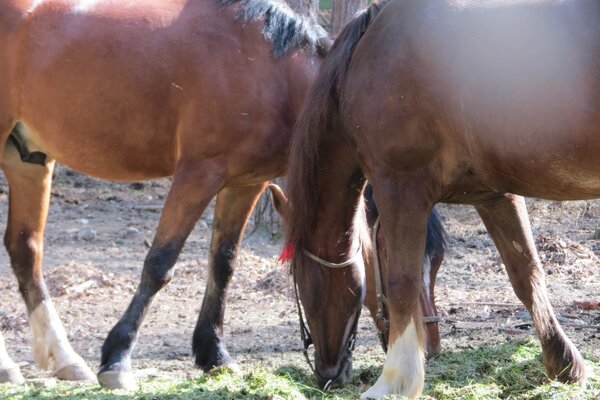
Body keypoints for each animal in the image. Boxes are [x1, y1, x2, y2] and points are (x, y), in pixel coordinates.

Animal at [0, 0, 330, 390]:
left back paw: (63, 359)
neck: (270, 70)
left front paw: (215, 355)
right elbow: (159, 264)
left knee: (25, 249)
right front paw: (117, 359)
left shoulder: (247, 183)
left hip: (27, 159)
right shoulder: (198, 173)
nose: (334, 372)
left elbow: (223, 263)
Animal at [284, 0, 596, 396]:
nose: (327, 373)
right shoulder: (494, 194)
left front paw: (395, 381)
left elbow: (401, 282)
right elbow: (526, 274)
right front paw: (563, 362)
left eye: (301, 281)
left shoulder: (399, 185)